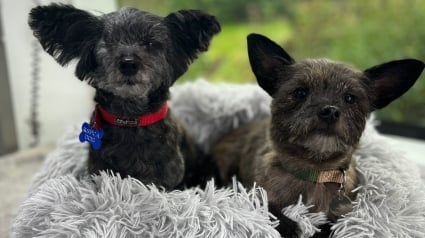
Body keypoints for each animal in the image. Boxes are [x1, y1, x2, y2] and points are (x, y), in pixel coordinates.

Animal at [210, 33, 422, 236]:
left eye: (350, 98)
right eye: (300, 92)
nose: (330, 111)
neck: (314, 172)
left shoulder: (344, 213)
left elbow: (333, 226)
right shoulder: (252, 193)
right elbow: (268, 210)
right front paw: (291, 227)